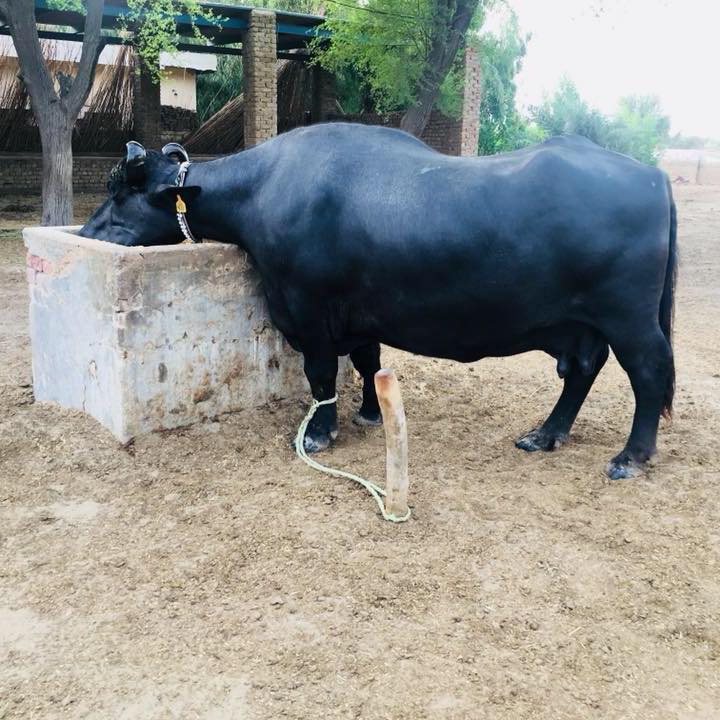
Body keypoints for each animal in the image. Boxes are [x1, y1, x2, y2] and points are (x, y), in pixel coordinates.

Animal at [79, 123, 677, 480]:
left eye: (122, 193)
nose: (88, 231)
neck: (265, 190)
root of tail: (650, 173)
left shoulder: (307, 309)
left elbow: (321, 373)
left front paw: (320, 432)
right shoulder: (361, 312)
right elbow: (368, 361)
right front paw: (369, 412)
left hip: (629, 319)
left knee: (648, 375)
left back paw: (630, 457)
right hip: (582, 322)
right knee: (583, 368)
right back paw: (546, 434)